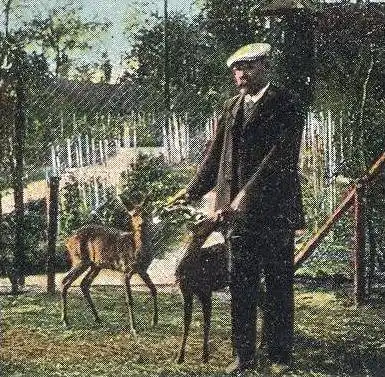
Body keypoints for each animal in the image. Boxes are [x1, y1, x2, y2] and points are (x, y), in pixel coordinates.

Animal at [60, 201, 157, 334]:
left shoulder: (143, 270)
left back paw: (98, 319)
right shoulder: (126, 269)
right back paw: (65, 321)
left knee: (84, 283)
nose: (141, 224)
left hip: (95, 265)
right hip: (79, 260)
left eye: (146, 212)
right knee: (65, 281)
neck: (136, 249)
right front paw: (133, 328)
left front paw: (154, 322)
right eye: (134, 214)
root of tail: (67, 241)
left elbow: (153, 289)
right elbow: (129, 299)